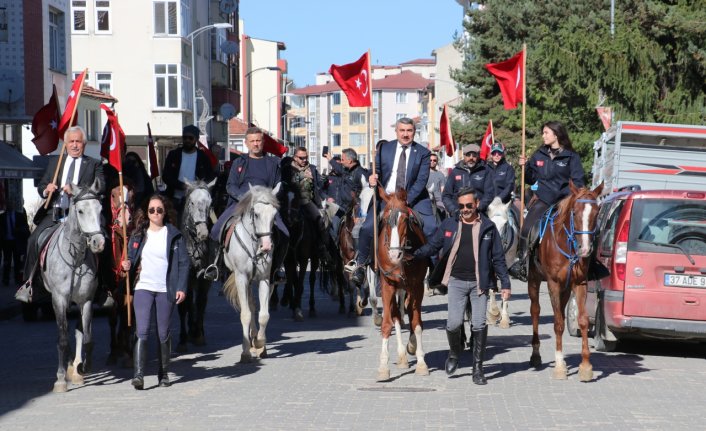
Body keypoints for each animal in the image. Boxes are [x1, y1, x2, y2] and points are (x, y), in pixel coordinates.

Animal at [41, 181, 104, 394]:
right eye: (81, 211)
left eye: (100, 209)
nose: (98, 243)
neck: (75, 259)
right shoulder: (59, 299)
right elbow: (62, 339)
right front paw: (60, 379)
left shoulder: (86, 300)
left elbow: (86, 337)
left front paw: (82, 367)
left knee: (77, 332)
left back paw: (75, 369)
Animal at [221, 184, 280, 362]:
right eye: (256, 214)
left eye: (274, 215)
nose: (266, 246)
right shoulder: (241, 278)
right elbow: (246, 314)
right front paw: (246, 351)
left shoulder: (265, 279)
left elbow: (264, 315)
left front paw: (260, 343)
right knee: (249, 306)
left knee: (255, 306)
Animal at [374, 189, 428, 382]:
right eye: (385, 219)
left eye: (405, 219)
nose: (394, 254)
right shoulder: (387, 285)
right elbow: (387, 323)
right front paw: (383, 367)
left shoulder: (417, 286)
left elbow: (417, 323)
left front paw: (421, 363)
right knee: (397, 316)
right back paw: (402, 356)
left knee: (410, 312)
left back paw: (411, 346)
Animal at [524, 181, 604, 384]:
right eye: (574, 213)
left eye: (596, 213)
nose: (585, 249)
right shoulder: (552, 283)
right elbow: (558, 323)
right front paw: (560, 366)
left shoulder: (579, 283)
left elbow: (582, 320)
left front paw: (586, 366)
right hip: (534, 280)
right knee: (535, 311)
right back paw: (535, 355)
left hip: (566, 289)